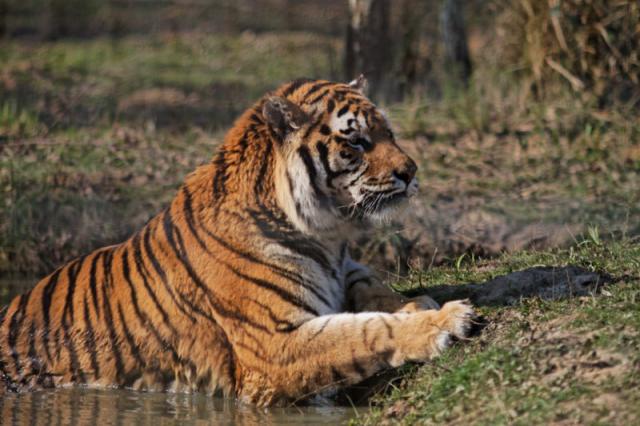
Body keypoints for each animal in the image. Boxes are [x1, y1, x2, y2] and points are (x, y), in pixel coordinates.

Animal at [0, 76, 476, 406]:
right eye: (357, 141)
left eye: (388, 133)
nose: (411, 172)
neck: (325, 235)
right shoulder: (275, 348)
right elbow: (362, 332)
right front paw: (443, 320)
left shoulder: (344, 267)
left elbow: (370, 285)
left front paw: (416, 304)